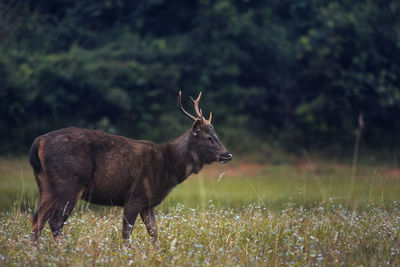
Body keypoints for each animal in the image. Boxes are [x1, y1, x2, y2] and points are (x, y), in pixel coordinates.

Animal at [29, 91, 233, 247]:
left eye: (216, 135)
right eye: (208, 138)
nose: (227, 154)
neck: (168, 167)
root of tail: (38, 142)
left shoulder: (148, 203)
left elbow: (154, 232)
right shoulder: (136, 194)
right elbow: (127, 232)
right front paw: (127, 254)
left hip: (47, 185)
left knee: (36, 220)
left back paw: (35, 252)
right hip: (70, 182)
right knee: (54, 221)